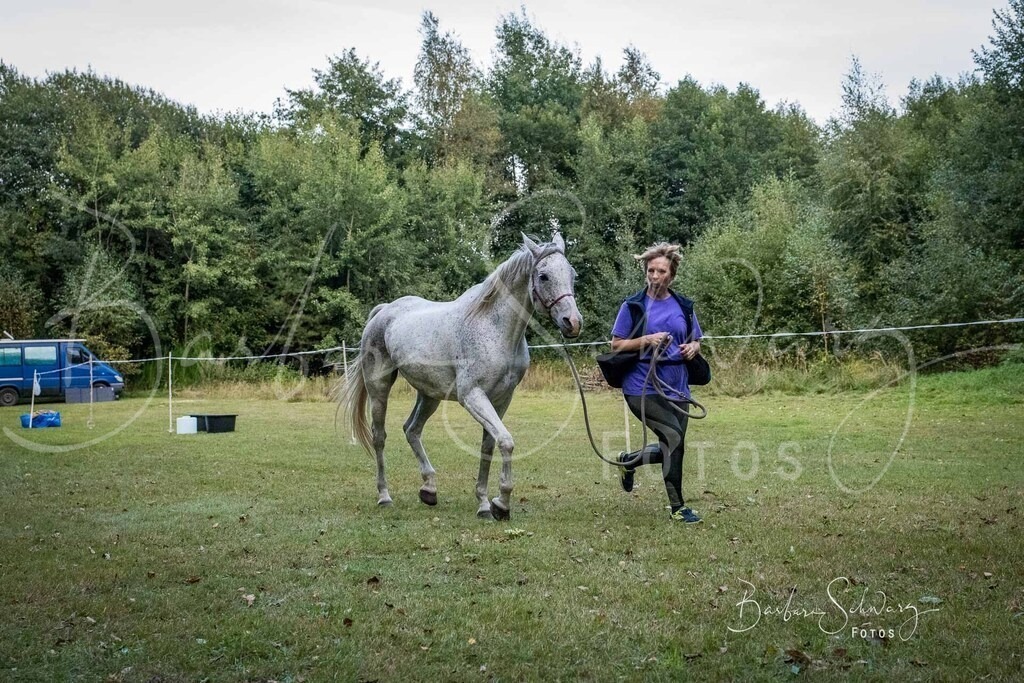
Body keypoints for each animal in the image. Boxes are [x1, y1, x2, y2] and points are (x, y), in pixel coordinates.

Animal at [339, 231, 582, 520]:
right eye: (543, 276)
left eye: (572, 274)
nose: (572, 323)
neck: (495, 329)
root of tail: (384, 311)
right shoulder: (473, 396)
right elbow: (506, 441)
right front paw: (501, 503)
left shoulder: (501, 399)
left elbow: (490, 446)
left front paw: (485, 503)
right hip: (379, 387)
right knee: (379, 436)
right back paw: (384, 496)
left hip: (429, 395)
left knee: (412, 430)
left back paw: (429, 489)